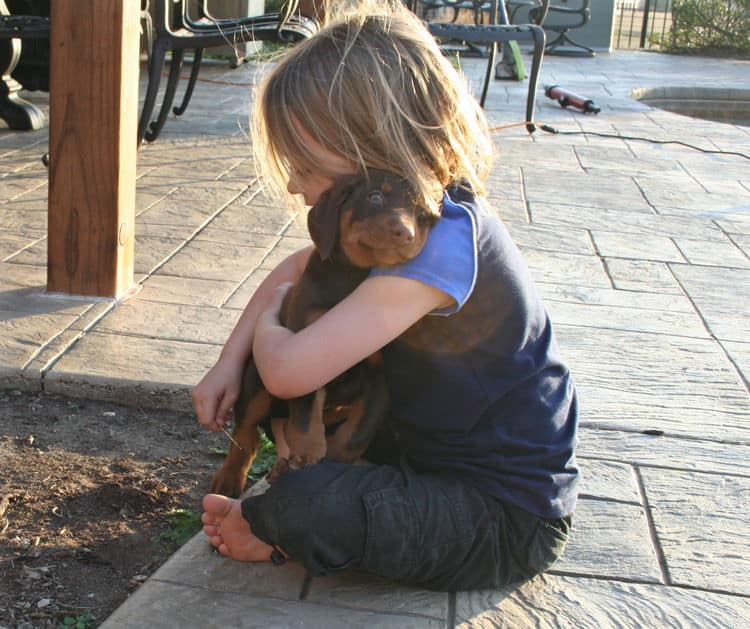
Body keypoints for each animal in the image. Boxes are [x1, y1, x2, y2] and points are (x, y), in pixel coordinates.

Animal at [210, 169, 434, 498]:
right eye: (375, 196)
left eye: (421, 213)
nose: (405, 233)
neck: (353, 279)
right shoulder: (301, 351)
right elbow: (305, 411)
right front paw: (308, 451)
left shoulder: (381, 375)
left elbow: (359, 431)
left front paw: (335, 460)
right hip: (256, 379)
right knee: (247, 433)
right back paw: (229, 479)